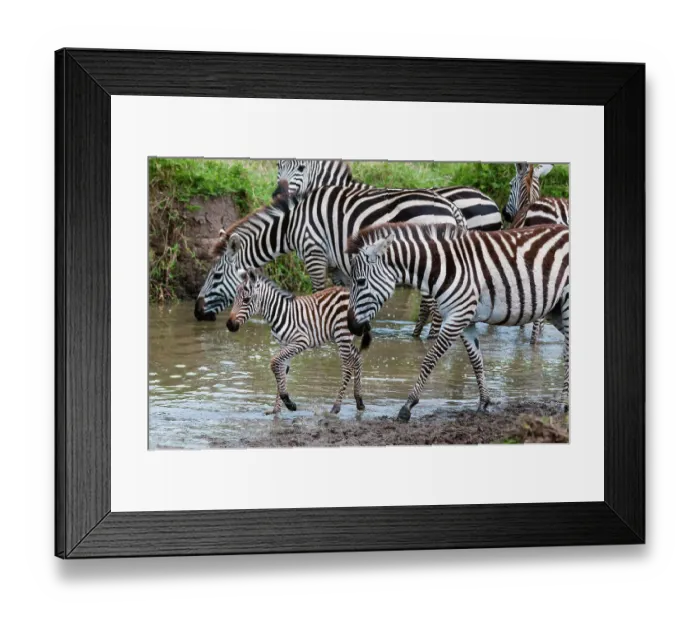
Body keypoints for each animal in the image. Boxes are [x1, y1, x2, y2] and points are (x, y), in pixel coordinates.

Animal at [194, 185, 468, 323]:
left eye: (216, 276)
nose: (196, 312)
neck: (291, 225)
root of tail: (450, 206)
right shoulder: (338, 266)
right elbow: (343, 297)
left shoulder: (314, 253)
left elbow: (318, 293)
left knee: (433, 308)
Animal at [226, 270, 370, 416]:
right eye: (233, 299)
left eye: (246, 300)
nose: (229, 325)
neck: (279, 313)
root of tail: (348, 291)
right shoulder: (283, 344)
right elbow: (281, 369)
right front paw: (278, 408)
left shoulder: (300, 341)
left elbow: (274, 363)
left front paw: (288, 402)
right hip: (340, 337)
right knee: (357, 358)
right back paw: (359, 401)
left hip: (342, 334)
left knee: (347, 366)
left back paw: (336, 407)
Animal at [345, 222, 570, 422]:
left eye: (360, 282)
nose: (351, 326)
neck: (443, 267)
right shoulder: (466, 321)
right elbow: (476, 361)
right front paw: (483, 403)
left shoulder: (457, 316)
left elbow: (429, 359)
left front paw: (407, 406)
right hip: (556, 311)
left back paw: (564, 405)